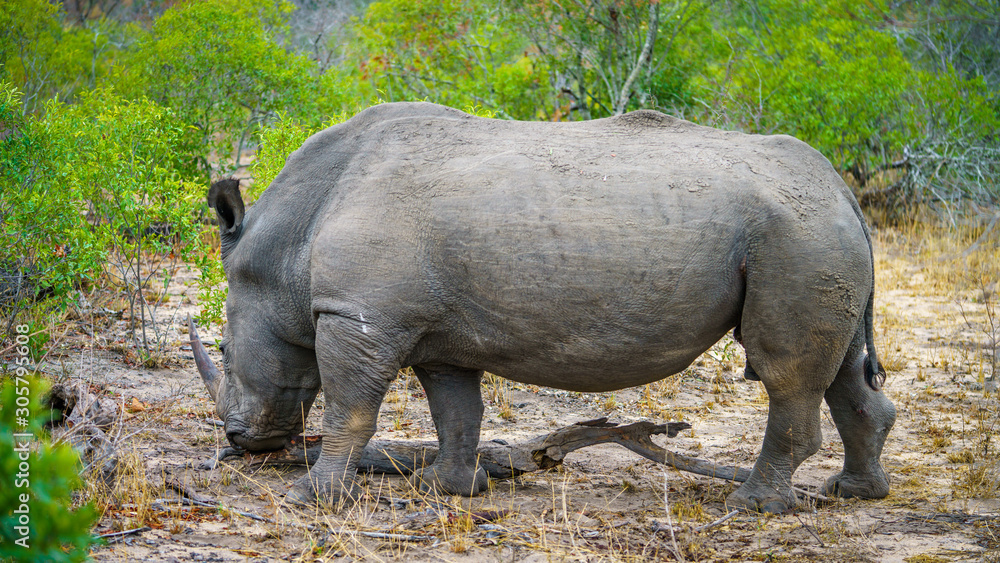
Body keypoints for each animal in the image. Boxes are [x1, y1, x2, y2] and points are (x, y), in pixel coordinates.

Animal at [192, 102, 895, 513]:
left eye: (224, 350)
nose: (241, 440)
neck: (287, 245)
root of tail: (841, 188)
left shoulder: (358, 315)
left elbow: (350, 407)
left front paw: (311, 496)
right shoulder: (437, 332)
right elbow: (456, 409)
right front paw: (448, 488)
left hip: (795, 235)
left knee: (785, 373)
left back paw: (753, 506)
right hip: (812, 234)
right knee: (839, 368)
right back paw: (853, 493)